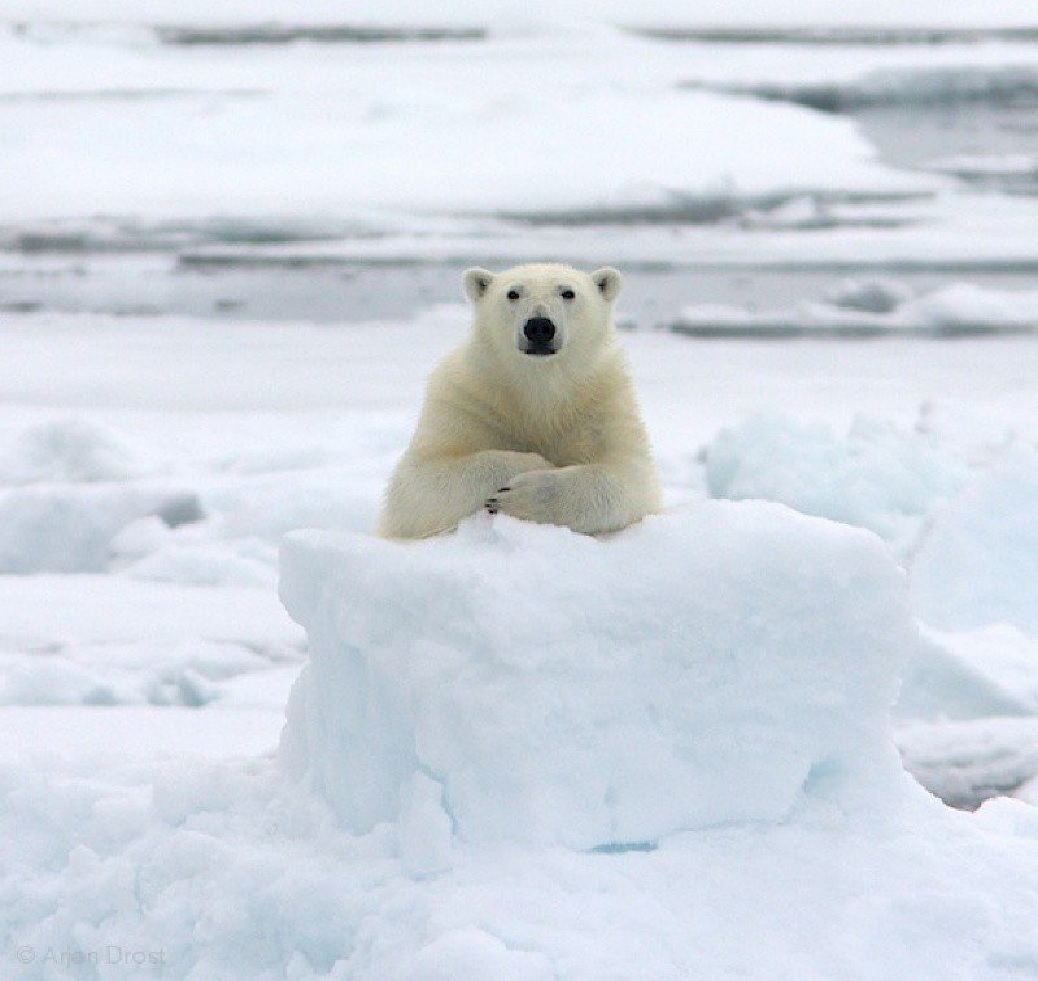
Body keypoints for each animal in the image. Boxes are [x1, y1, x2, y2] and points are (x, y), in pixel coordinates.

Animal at [377, 262, 660, 535]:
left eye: (568, 292)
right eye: (512, 293)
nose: (539, 326)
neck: (539, 385)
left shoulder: (601, 406)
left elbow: (632, 480)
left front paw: (525, 495)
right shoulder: (466, 401)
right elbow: (415, 485)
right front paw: (535, 464)